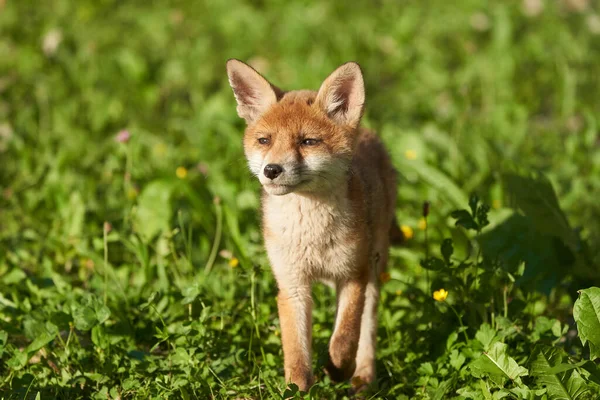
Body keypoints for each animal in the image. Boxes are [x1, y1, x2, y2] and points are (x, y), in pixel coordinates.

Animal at [225, 61, 398, 392]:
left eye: (308, 141)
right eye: (265, 141)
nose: (271, 170)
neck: (311, 236)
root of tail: (369, 134)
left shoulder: (353, 275)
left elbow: (344, 338)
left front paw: (336, 369)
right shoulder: (292, 286)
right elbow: (296, 355)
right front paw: (297, 390)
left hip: (374, 270)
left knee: (366, 332)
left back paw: (362, 378)